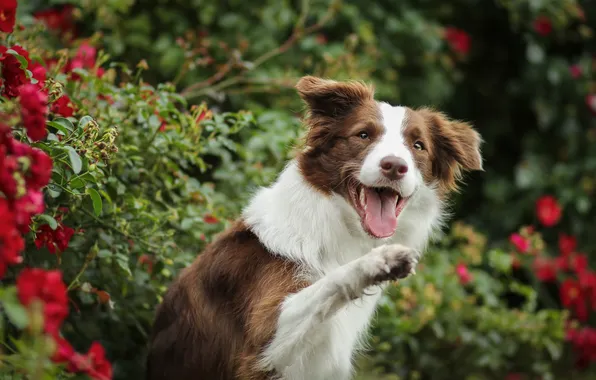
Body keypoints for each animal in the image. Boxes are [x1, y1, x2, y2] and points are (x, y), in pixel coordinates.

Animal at [146, 75, 484, 380]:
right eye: (363, 135)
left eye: (418, 145)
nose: (394, 166)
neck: (344, 236)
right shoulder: (261, 346)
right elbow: (328, 284)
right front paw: (377, 262)